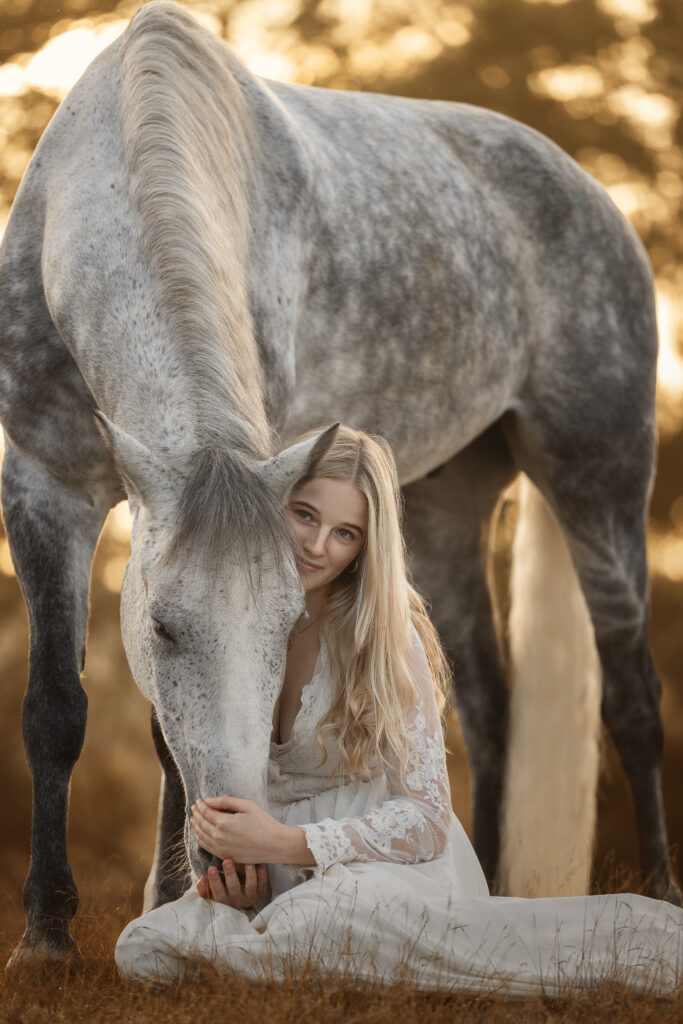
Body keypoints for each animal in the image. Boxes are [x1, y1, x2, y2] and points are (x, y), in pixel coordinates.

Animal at [0, 1, 678, 966]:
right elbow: (55, 710)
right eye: (163, 628)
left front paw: (168, 902)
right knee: (487, 704)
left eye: (292, 624)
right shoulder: (42, 484)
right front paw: (48, 938)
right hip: (443, 501)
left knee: (630, 700)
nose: (240, 864)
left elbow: (165, 744)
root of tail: (591, 194)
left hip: (599, 482)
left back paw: (656, 897)